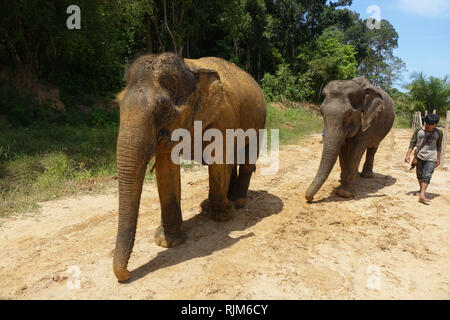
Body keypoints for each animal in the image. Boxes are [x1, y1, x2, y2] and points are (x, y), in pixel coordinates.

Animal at [113, 52, 268, 280]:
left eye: (163, 109)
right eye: (118, 104)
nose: (126, 275)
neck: (191, 70)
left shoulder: (223, 118)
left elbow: (218, 160)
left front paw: (224, 216)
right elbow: (166, 169)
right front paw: (167, 241)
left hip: (259, 121)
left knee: (246, 159)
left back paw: (236, 203)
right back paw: (211, 204)